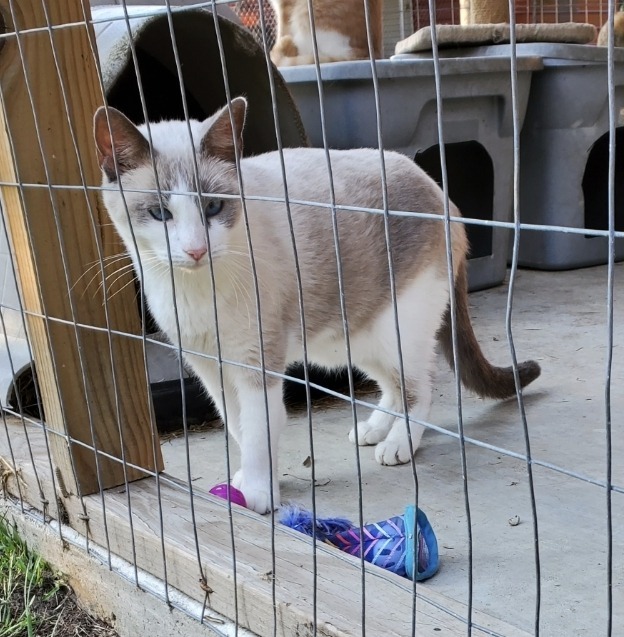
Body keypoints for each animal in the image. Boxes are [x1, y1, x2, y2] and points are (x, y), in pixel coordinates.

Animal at [94, 100, 540, 516]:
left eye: (213, 208)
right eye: (159, 213)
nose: (195, 250)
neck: (192, 288)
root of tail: (440, 193)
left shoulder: (256, 363)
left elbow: (258, 432)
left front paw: (257, 494)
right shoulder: (210, 367)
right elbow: (238, 428)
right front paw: (249, 482)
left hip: (396, 327)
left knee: (421, 386)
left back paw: (398, 443)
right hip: (355, 337)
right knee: (395, 385)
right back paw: (375, 429)